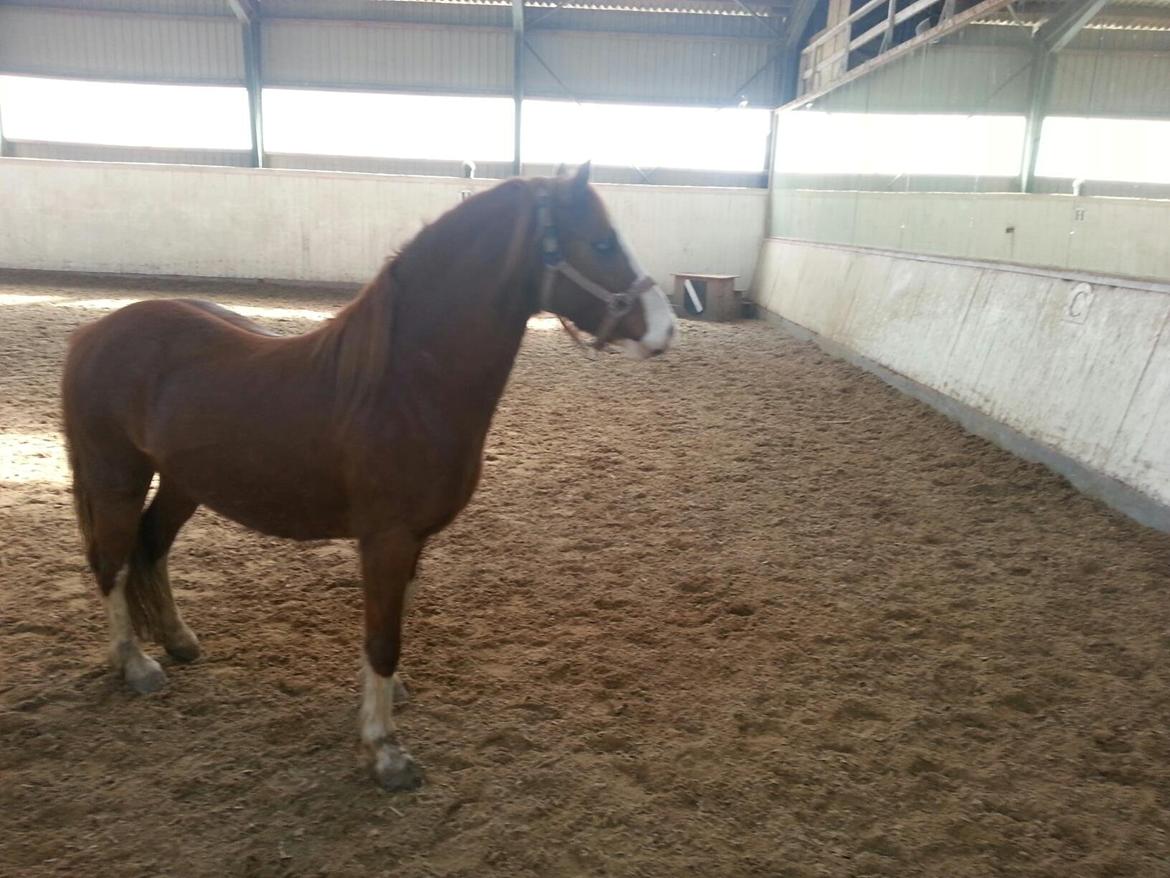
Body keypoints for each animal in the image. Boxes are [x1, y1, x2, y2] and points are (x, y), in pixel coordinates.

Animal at [60, 163, 676, 790]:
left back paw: (179, 641)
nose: (666, 329)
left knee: (152, 545)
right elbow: (384, 637)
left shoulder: (414, 540)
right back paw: (135, 665)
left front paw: (382, 703)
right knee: (111, 561)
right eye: (602, 243)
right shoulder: (386, 539)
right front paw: (386, 752)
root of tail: (94, 334)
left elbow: (388, 624)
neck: (403, 386)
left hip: (184, 483)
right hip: (116, 477)